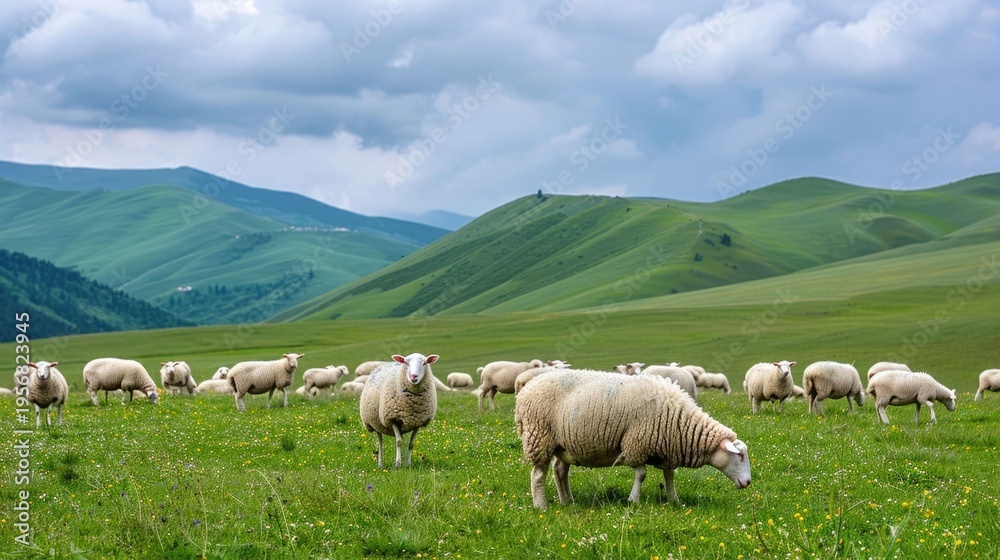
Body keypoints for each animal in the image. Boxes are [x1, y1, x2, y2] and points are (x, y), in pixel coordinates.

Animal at [515, 369, 751, 508]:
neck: (678, 421)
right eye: (739, 456)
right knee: (538, 475)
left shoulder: (666, 448)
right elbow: (641, 474)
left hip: (563, 444)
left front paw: (673, 499)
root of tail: (528, 386)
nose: (748, 482)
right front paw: (633, 500)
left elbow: (669, 475)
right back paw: (541, 506)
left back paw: (568, 502)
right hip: (539, 436)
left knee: (559, 471)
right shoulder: (636, 443)